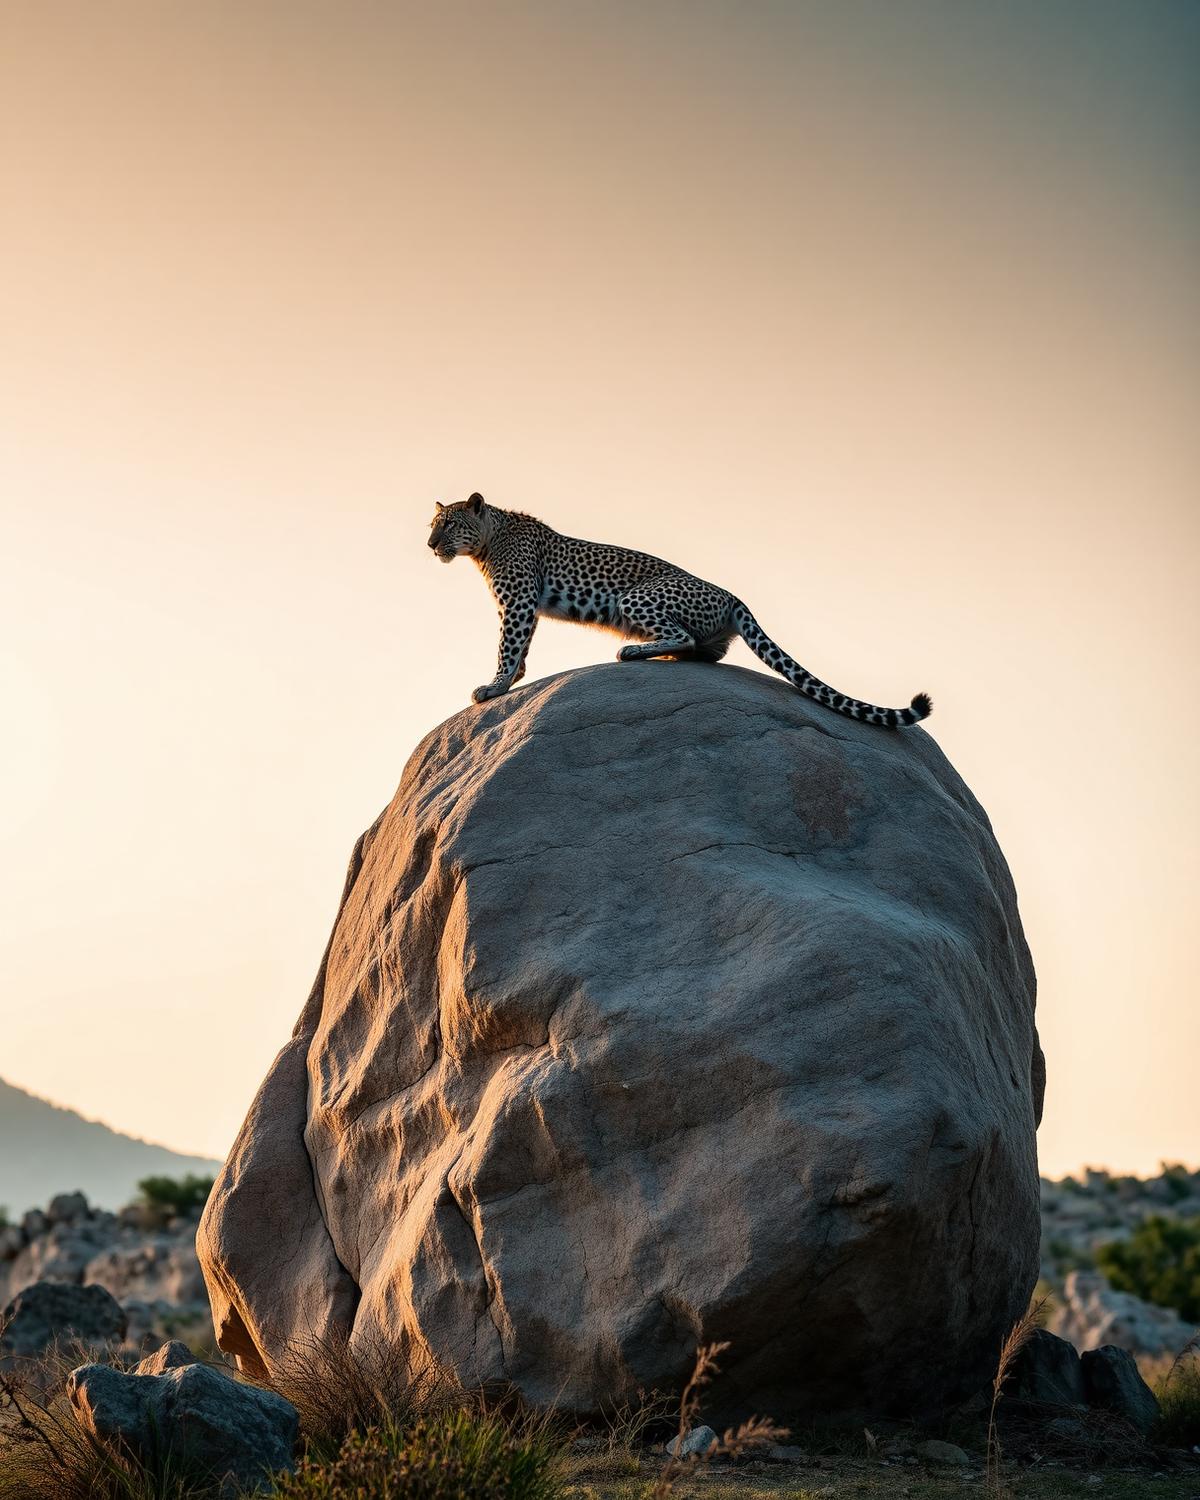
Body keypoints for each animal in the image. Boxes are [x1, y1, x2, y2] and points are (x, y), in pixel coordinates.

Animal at [427, 493, 932, 728]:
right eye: (433, 524)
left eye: (448, 524)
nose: (430, 545)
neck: (488, 541)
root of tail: (733, 596)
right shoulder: (523, 605)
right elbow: (522, 647)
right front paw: (510, 681)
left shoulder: (518, 601)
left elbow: (508, 645)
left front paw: (494, 687)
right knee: (709, 651)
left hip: (634, 597)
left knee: (686, 637)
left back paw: (634, 652)